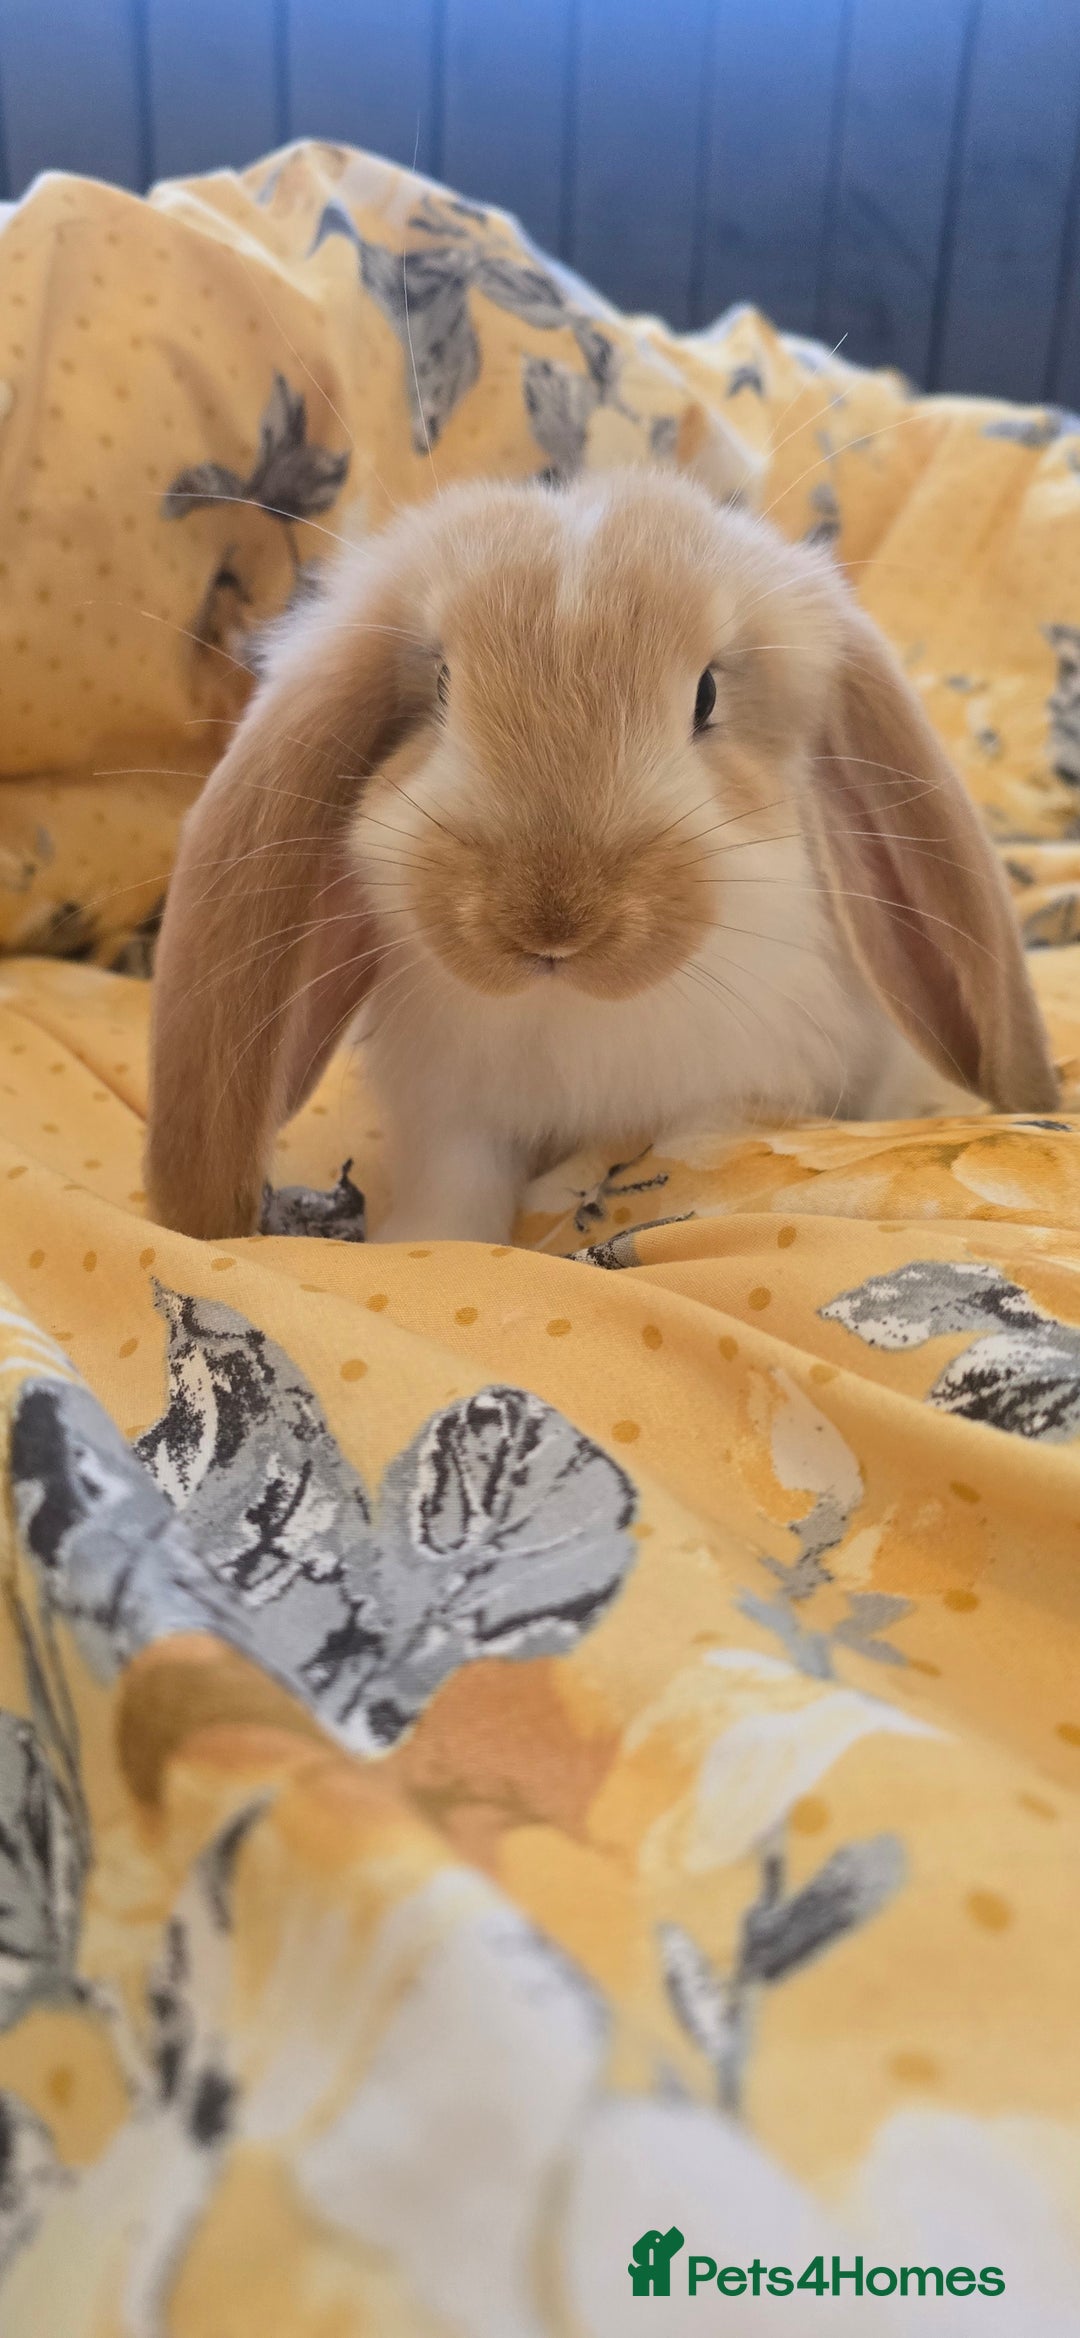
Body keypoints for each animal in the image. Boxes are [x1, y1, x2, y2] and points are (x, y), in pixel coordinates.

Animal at [146, 467, 1058, 1245]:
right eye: (440, 686)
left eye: (707, 696)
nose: (551, 921)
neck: (570, 1011)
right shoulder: (453, 1115)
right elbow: (458, 1187)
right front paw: (424, 1244)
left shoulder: (725, 1100)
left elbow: (643, 1151)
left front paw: (567, 1196)